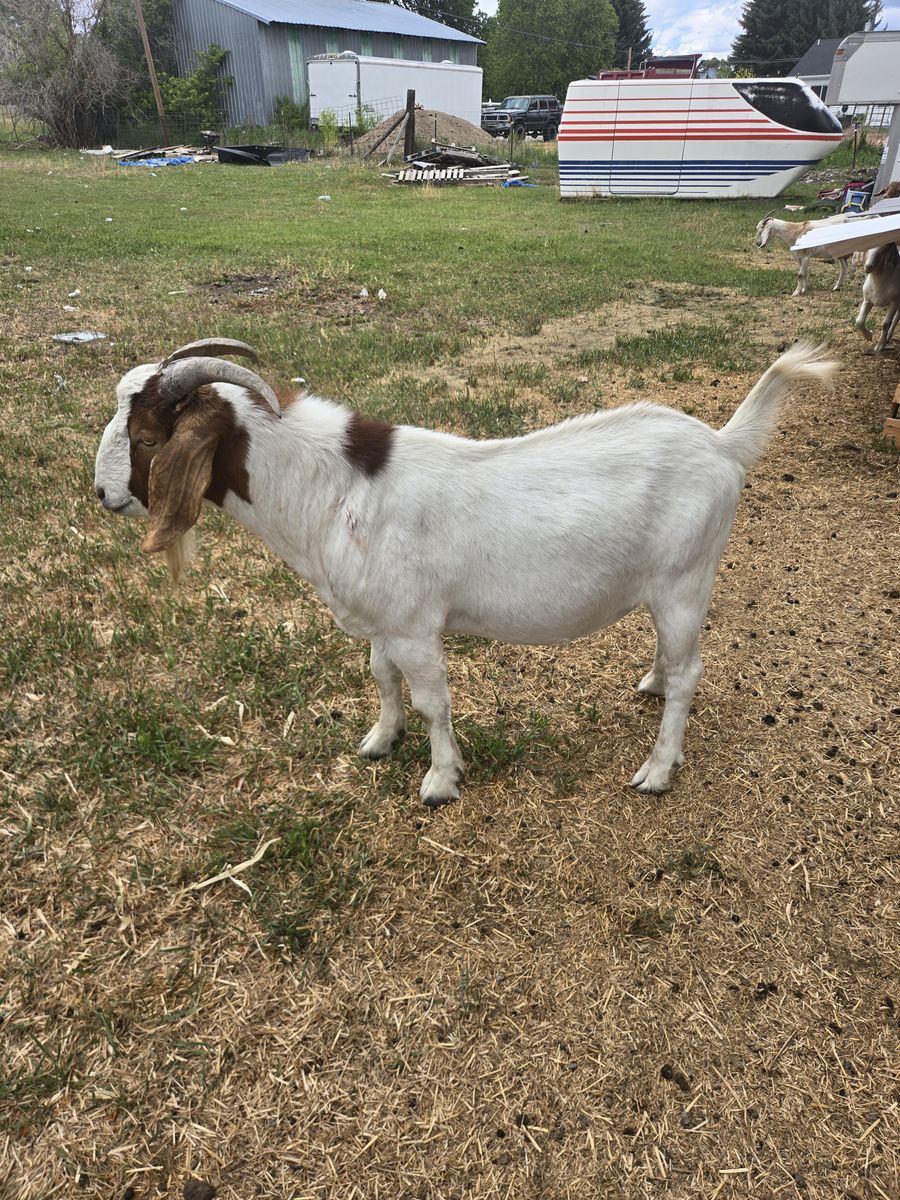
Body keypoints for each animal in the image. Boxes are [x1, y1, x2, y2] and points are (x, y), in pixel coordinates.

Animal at [94, 339, 835, 806]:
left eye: (149, 438)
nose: (103, 494)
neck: (331, 487)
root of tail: (721, 444)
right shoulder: (381, 618)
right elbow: (382, 678)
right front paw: (379, 740)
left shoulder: (415, 625)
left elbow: (432, 700)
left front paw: (440, 781)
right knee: (670, 660)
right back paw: (649, 685)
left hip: (687, 578)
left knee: (689, 673)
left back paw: (656, 770)